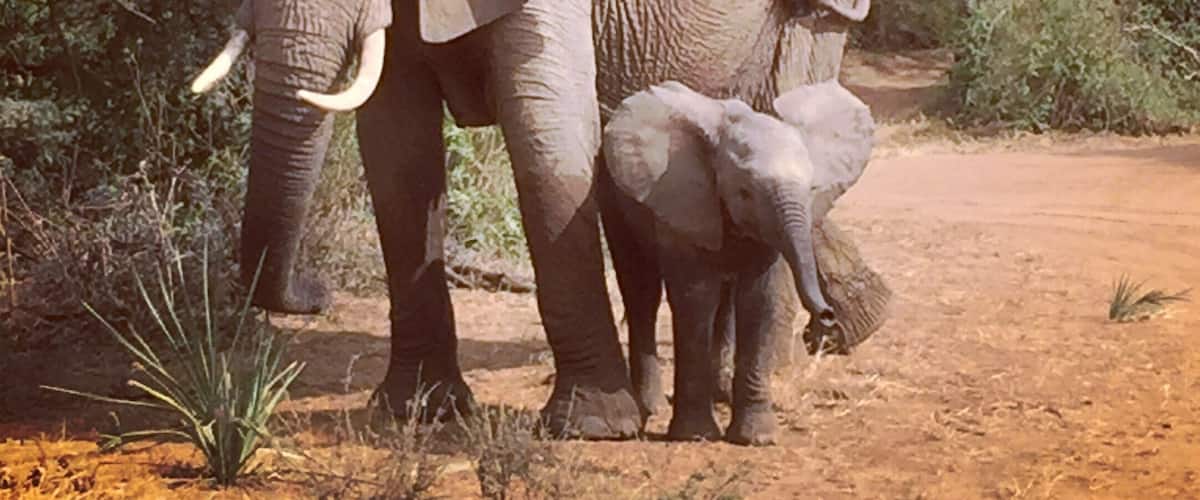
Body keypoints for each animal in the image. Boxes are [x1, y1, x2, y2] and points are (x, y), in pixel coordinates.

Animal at [601, 80, 875, 444]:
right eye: (744, 192)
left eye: (813, 188)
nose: (827, 317)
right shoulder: (687, 204)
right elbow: (695, 298)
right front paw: (695, 436)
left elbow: (758, 300)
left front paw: (756, 439)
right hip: (614, 198)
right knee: (641, 291)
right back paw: (653, 409)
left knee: (725, 302)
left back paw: (721, 397)